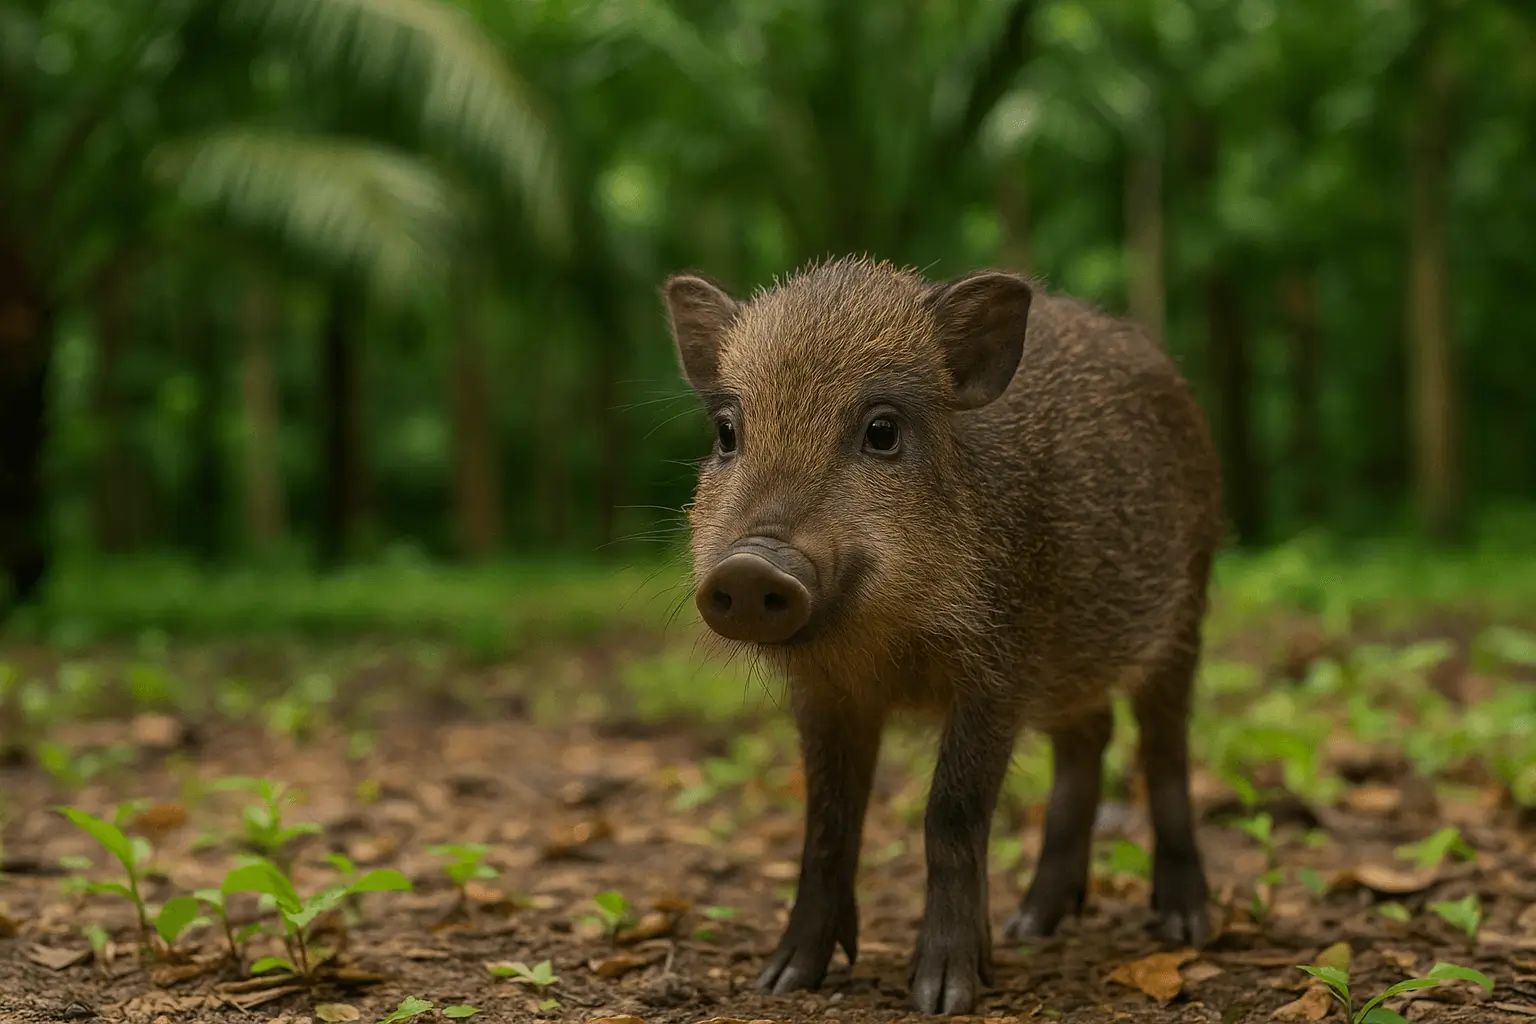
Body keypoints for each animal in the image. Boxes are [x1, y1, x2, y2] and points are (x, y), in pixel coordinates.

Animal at [660, 256, 1221, 1015]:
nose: (750, 568)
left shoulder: (999, 671)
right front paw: (781, 980)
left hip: (1185, 614)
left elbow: (950, 815)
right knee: (1087, 742)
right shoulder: (826, 695)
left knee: (1163, 753)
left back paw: (1185, 927)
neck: (884, 646)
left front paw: (943, 995)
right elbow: (827, 822)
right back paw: (1030, 926)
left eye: (883, 430)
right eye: (726, 431)